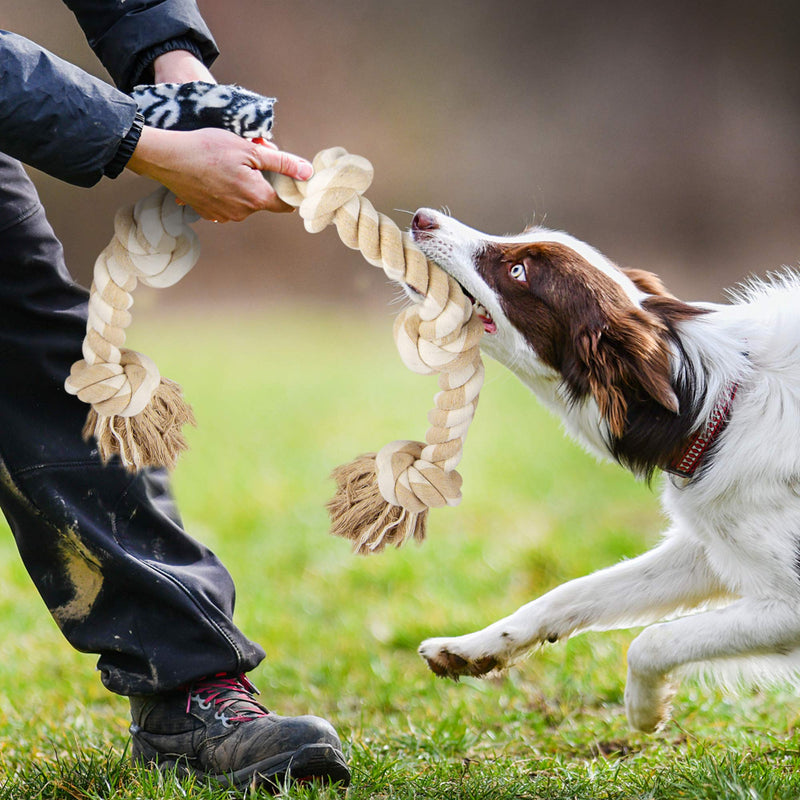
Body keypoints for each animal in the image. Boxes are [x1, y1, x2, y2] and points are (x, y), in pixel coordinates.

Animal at [410, 208, 800, 732]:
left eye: (519, 271)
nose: (421, 217)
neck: (711, 405)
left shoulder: (788, 602)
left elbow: (652, 639)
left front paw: (644, 708)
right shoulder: (713, 544)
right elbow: (571, 592)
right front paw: (471, 648)